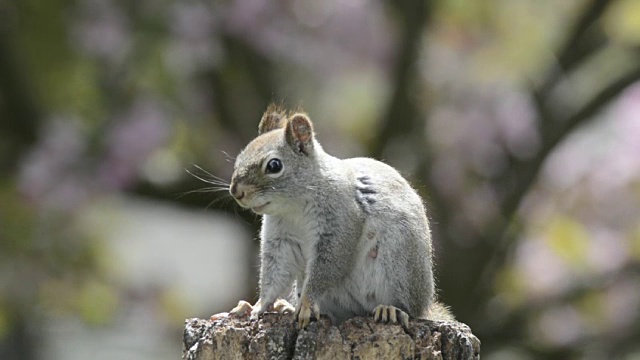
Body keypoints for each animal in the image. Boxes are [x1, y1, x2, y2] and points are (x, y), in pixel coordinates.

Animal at [228, 105, 452, 330]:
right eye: (239, 159)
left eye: (274, 166)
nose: (236, 191)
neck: (294, 208)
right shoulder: (280, 239)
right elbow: (274, 275)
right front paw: (258, 306)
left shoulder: (340, 222)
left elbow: (326, 266)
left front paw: (306, 305)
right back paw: (287, 307)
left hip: (400, 263)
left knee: (409, 308)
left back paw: (391, 310)